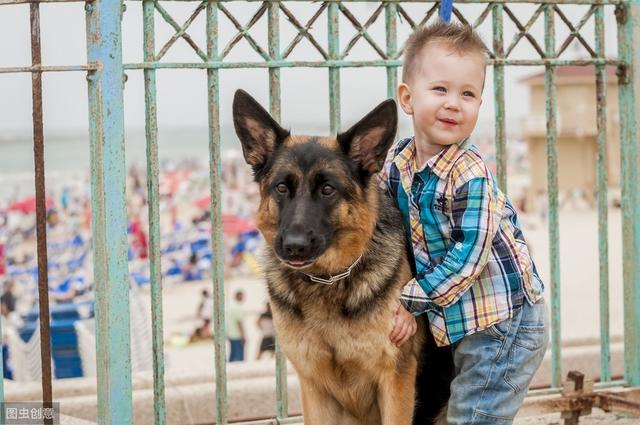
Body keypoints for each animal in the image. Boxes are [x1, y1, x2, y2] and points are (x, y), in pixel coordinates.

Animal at [231, 90, 450, 424]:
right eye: (281, 187)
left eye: (327, 189)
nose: (294, 246)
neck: (327, 280)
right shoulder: (313, 387)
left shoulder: (395, 380)